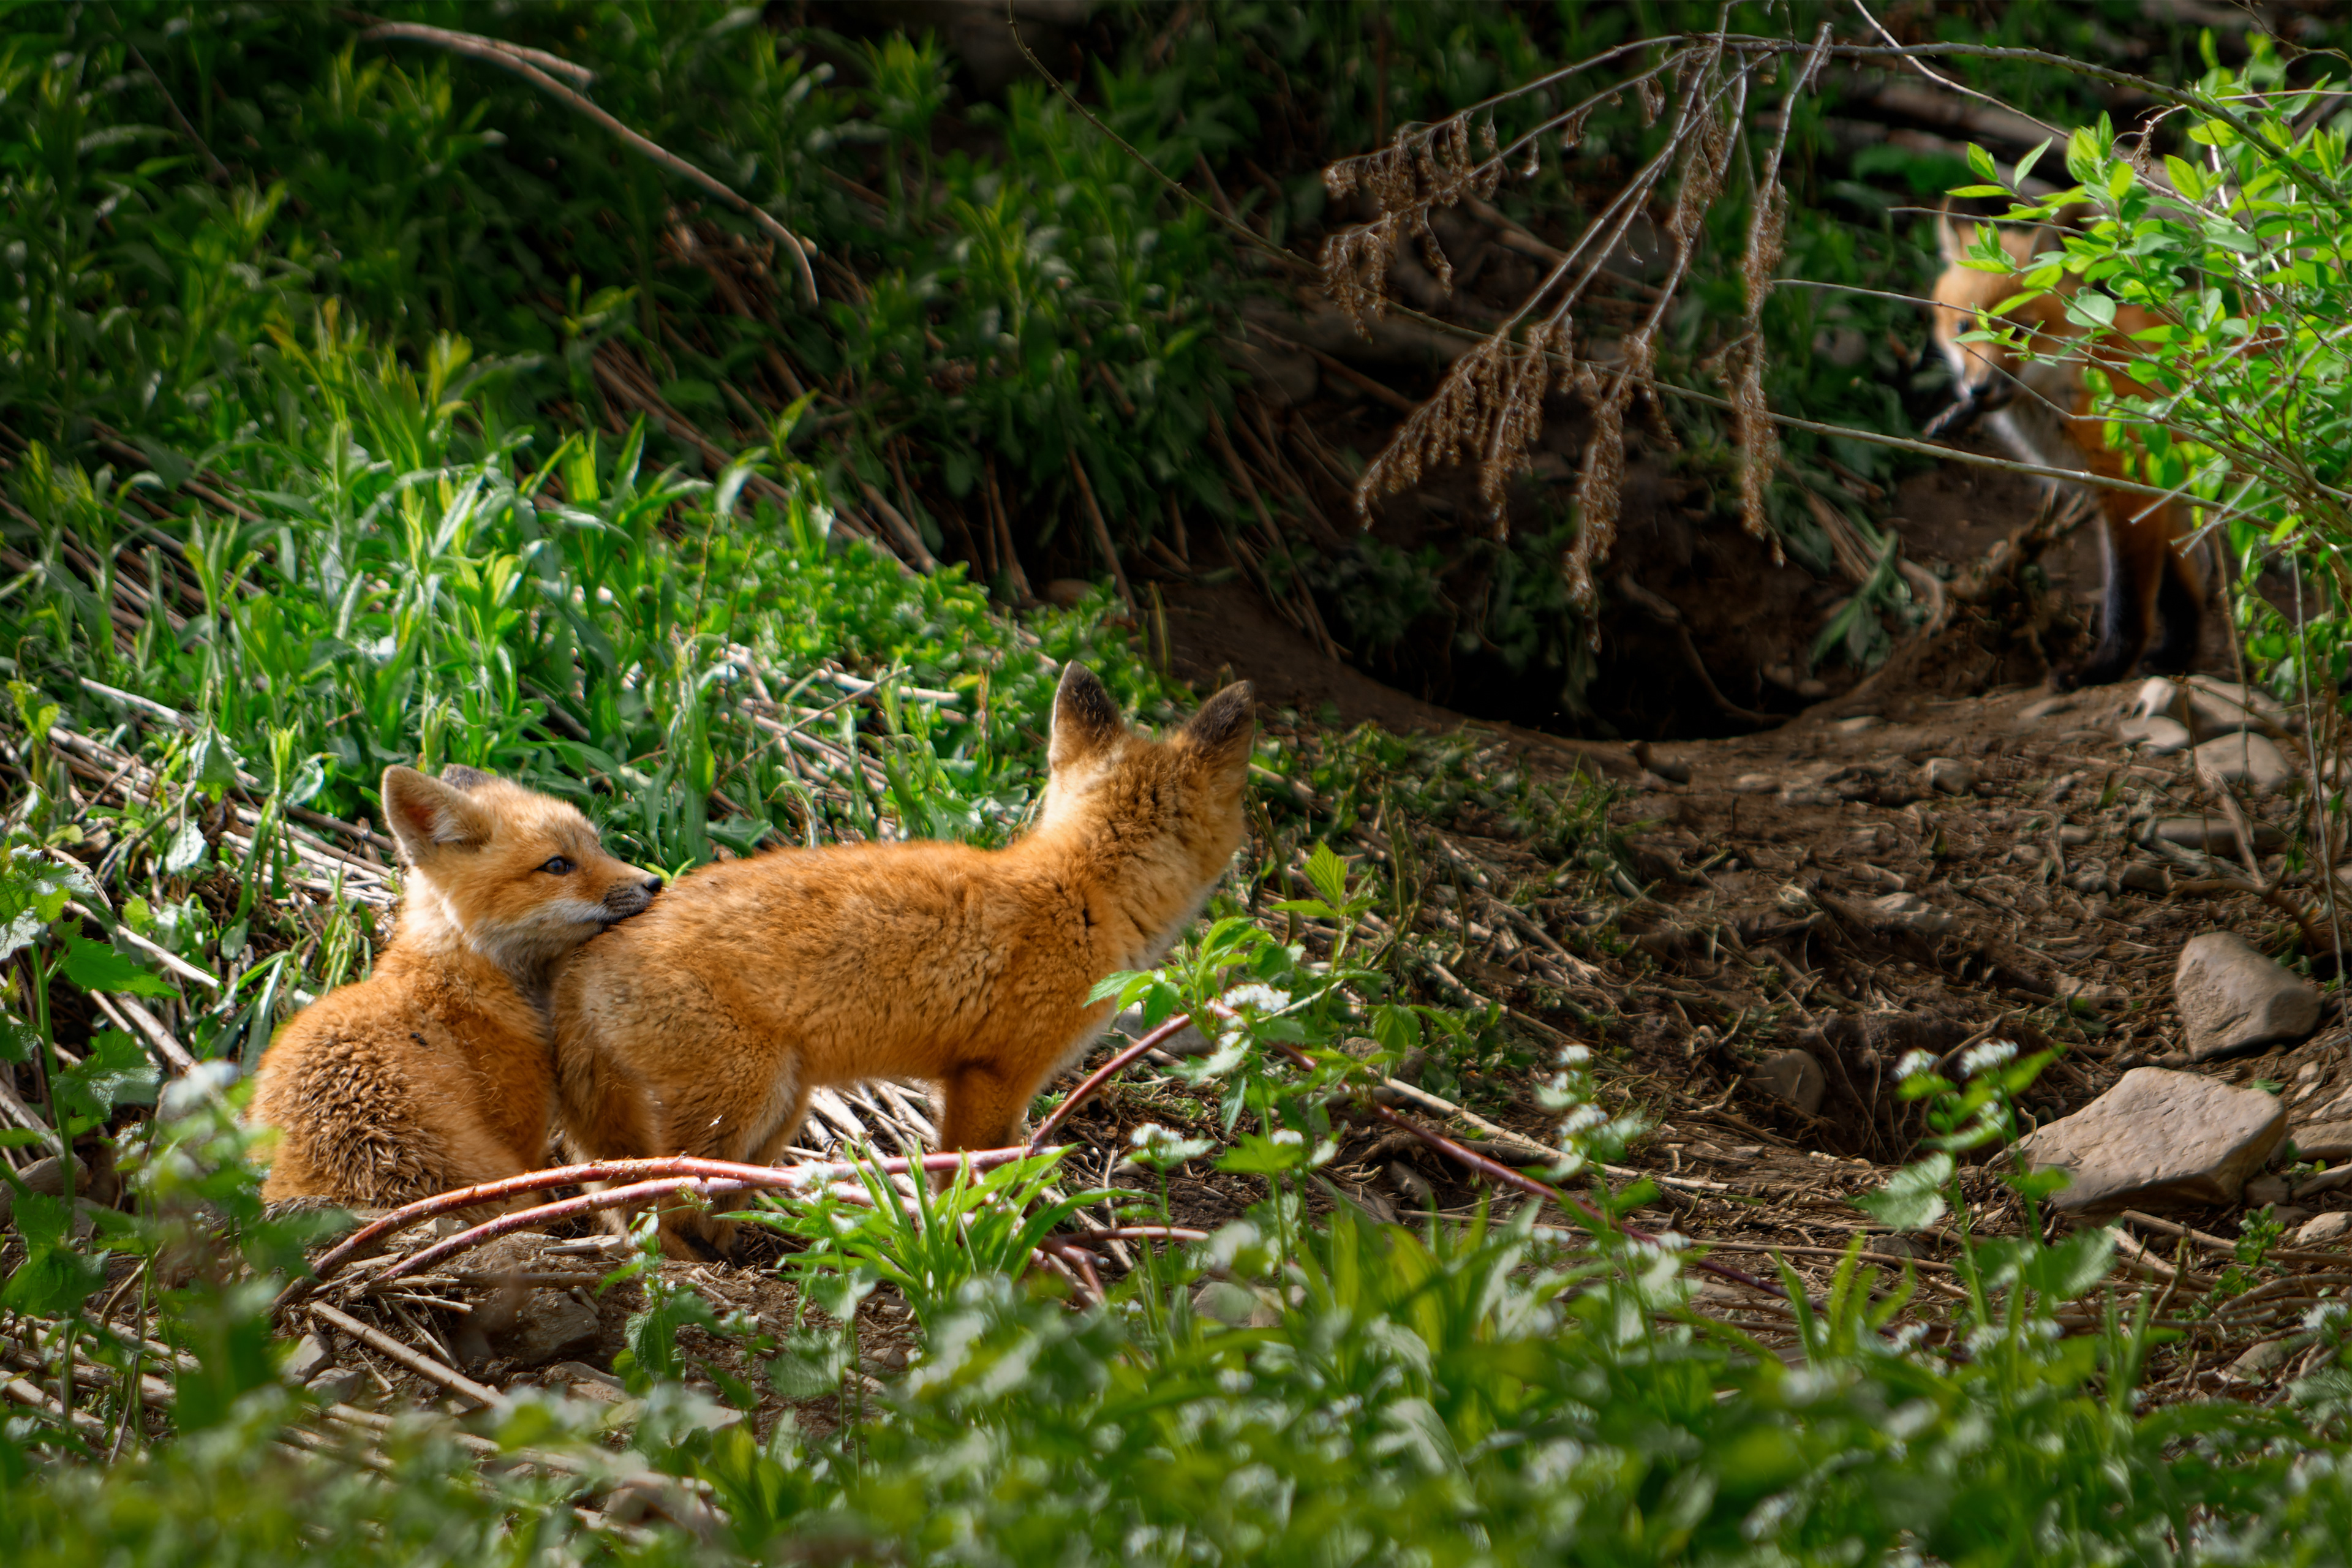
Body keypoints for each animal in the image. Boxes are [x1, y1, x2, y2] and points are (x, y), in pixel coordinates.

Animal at [549, 663, 1256, 1254]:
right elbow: (972, 1184)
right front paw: (977, 1252)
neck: (1079, 890)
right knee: (659, 1198)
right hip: (745, 1094)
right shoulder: (991, 1078)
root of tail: (575, 967)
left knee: (644, 1193)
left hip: (781, 1108)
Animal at [1927, 209, 2205, 689]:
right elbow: (2179, 594)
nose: (1978, 391)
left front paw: (2102, 671)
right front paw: (2176, 656)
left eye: (2021, 330)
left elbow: (2128, 600)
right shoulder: (2159, 497)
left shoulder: (2131, 488)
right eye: (1964, 327)